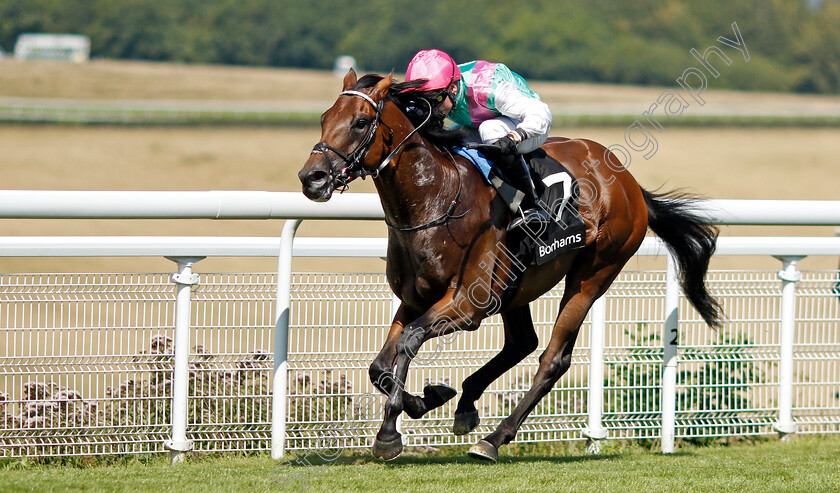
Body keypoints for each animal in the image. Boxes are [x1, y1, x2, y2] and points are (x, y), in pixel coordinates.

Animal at [296, 70, 720, 462]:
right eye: (324, 118)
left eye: (360, 122)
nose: (311, 177)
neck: (436, 199)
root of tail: (629, 183)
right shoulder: (415, 298)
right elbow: (380, 365)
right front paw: (428, 398)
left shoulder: (468, 304)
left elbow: (409, 341)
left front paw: (390, 434)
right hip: (517, 286)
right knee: (522, 342)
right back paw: (467, 405)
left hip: (593, 273)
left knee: (552, 359)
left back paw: (494, 439)